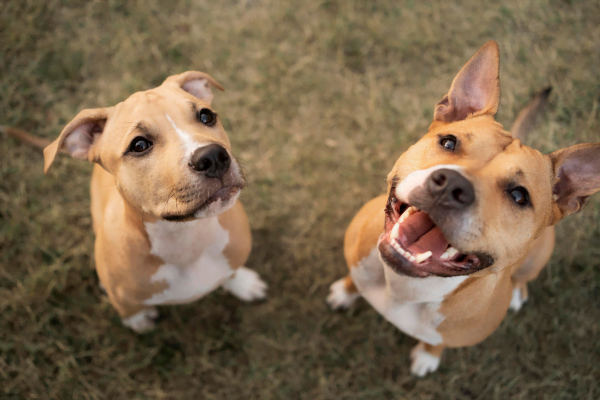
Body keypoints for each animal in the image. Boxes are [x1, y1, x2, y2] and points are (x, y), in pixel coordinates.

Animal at [42, 72, 268, 334]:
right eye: (139, 145)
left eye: (206, 116)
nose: (213, 157)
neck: (185, 239)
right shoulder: (124, 296)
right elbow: (128, 308)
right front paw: (138, 321)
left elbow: (231, 272)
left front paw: (243, 283)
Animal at [326, 40, 600, 376]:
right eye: (448, 142)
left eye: (519, 196)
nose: (450, 186)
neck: (406, 286)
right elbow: (355, 279)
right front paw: (346, 291)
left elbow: (437, 343)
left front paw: (428, 356)